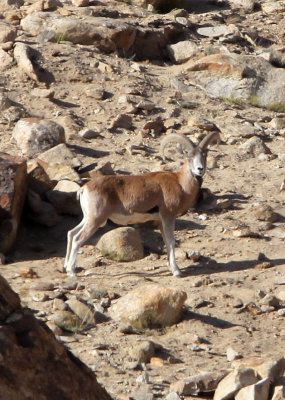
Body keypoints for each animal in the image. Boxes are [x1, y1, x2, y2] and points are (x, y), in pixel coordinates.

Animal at [64, 132, 220, 278]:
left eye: (204, 155)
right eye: (189, 155)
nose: (200, 169)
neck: (180, 183)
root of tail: (84, 188)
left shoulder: (160, 221)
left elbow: (167, 242)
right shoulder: (168, 217)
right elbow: (171, 242)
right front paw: (177, 272)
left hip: (88, 219)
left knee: (71, 233)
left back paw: (66, 267)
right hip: (96, 220)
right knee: (78, 239)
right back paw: (71, 272)